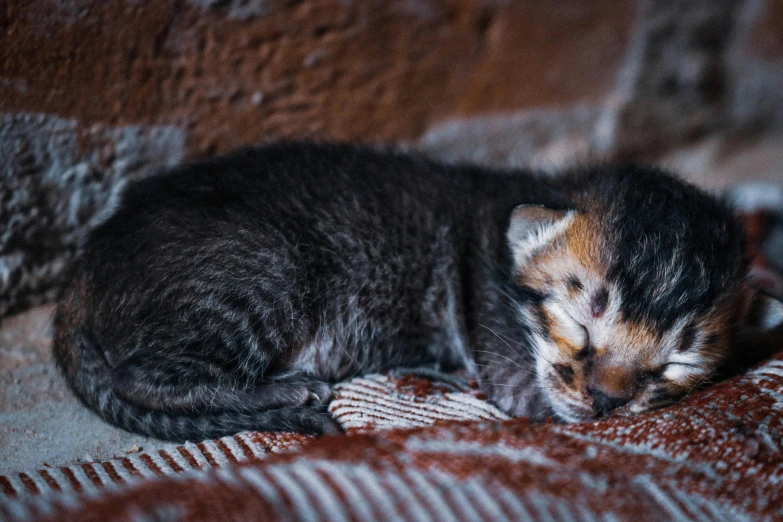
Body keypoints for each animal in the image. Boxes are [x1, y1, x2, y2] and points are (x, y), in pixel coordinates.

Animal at [52, 142, 780, 438]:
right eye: (582, 319)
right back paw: (288, 390)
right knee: (140, 375)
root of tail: (81, 273)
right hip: (259, 271)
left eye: (675, 363)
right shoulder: (507, 355)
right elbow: (536, 400)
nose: (605, 399)